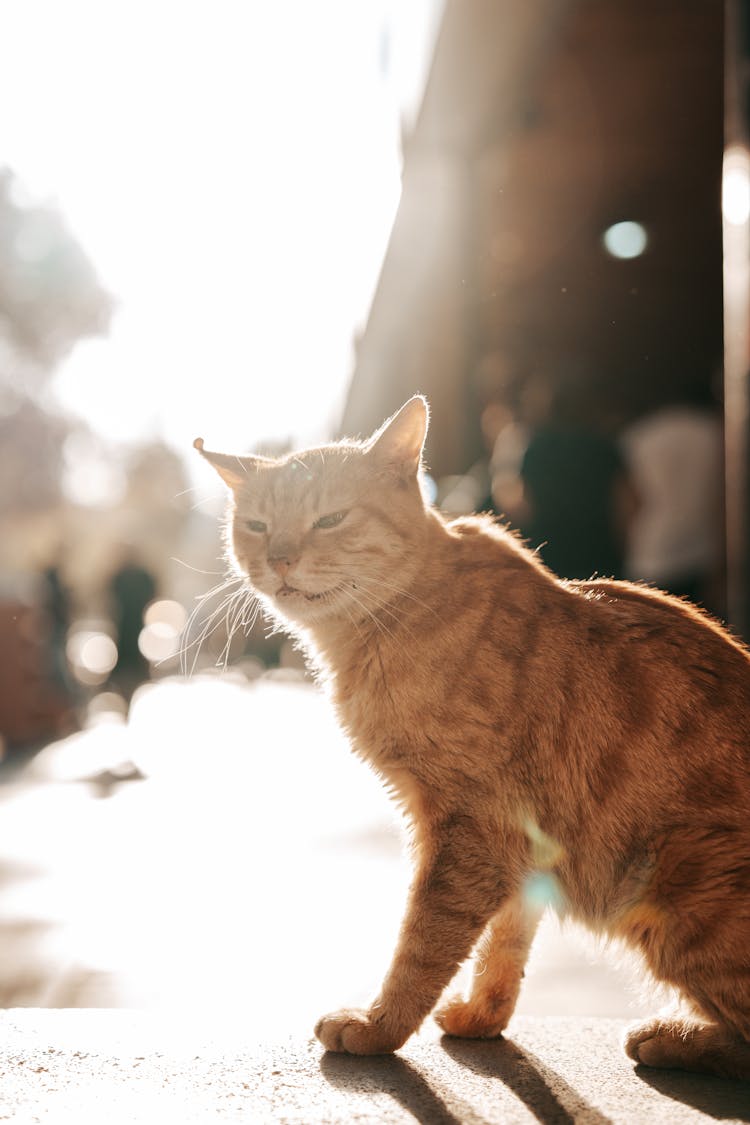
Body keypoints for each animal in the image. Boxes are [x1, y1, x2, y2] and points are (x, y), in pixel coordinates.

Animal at [196, 398, 750, 1080]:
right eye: (256, 524)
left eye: (329, 518)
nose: (278, 558)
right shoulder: (519, 841)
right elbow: (504, 943)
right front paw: (481, 1018)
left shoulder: (471, 828)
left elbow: (423, 943)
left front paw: (379, 1027)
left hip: (681, 891)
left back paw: (674, 1034)